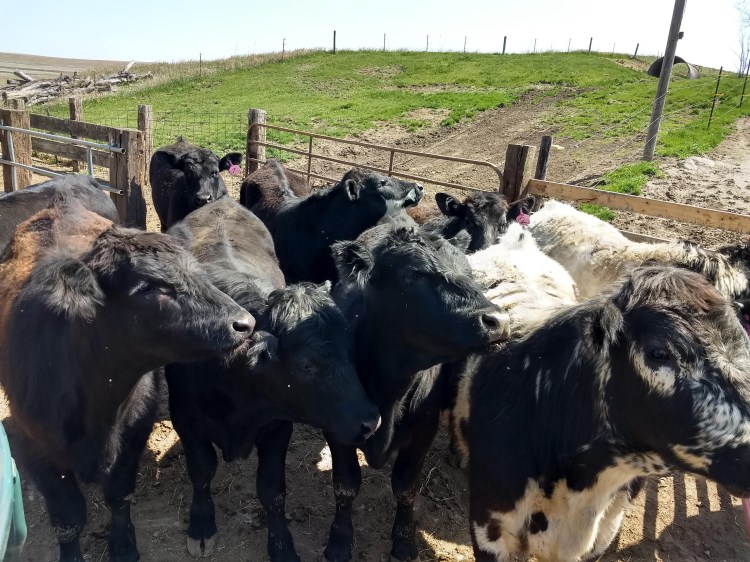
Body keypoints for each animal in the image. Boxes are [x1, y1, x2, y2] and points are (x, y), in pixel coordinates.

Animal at [0, 198, 258, 562]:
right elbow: (68, 517)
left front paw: (123, 545)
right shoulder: (37, 449)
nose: (243, 323)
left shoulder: (134, 434)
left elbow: (119, 496)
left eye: (195, 272)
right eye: (148, 287)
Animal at [164, 197, 380, 561]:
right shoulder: (185, 418)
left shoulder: (277, 426)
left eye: (350, 347)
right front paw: (202, 525)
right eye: (306, 364)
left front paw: (281, 545)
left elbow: (271, 490)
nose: (370, 421)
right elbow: (202, 471)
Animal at [321, 222, 510, 562]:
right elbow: (346, 484)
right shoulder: (335, 427)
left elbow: (406, 488)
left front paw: (404, 542)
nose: (498, 321)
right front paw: (340, 540)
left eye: (469, 273)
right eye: (413, 275)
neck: (389, 389)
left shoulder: (424, 429)